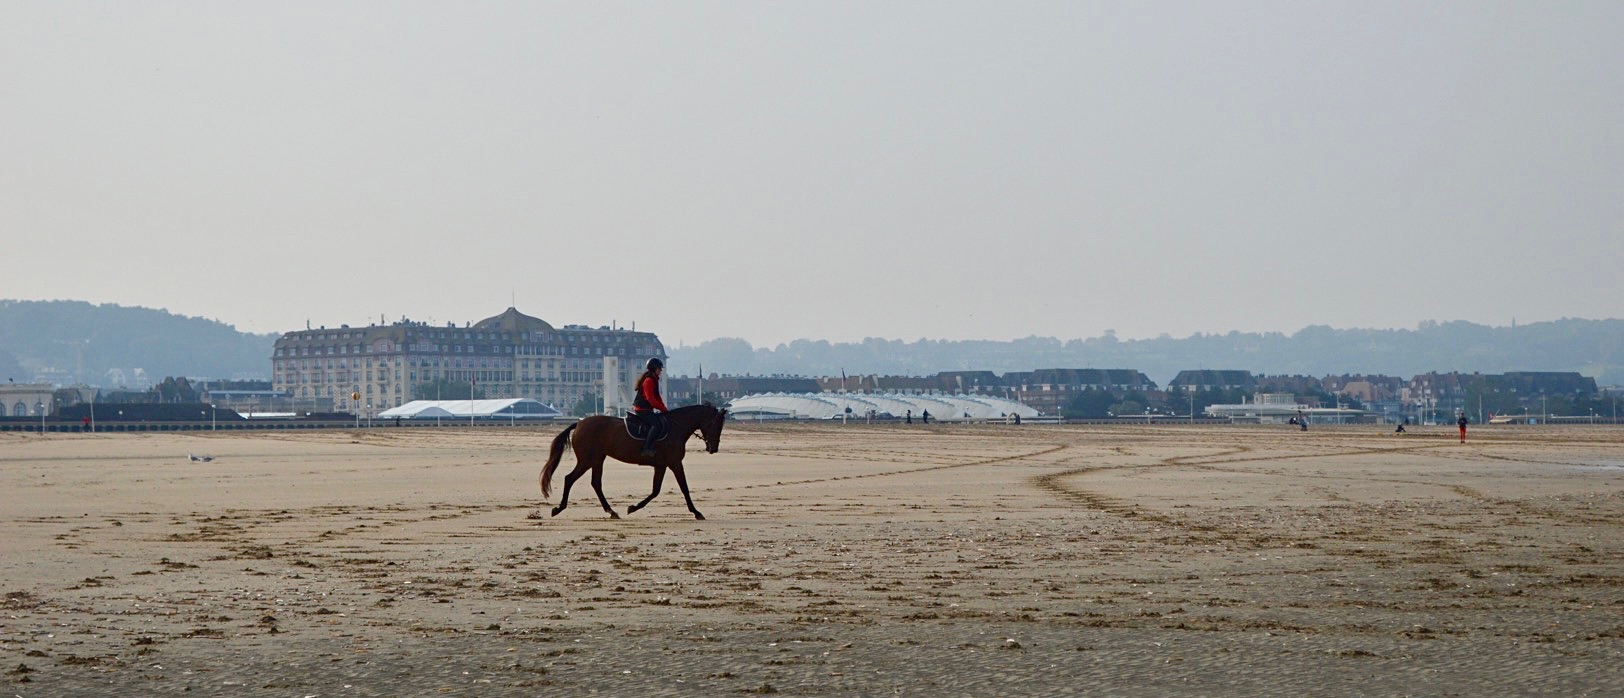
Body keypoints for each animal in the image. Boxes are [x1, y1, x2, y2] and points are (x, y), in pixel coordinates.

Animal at [540, 403, 728, 520]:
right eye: (717, 425)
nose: (713, 448)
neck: (676, 426)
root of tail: (579, 424)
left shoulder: (661, 466)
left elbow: (655, 491)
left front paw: (633, 507)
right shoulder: (675, 463)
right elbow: (684, 488)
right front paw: (696, 512)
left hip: (597, 459)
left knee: (596, 483)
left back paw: (611, 511)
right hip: (587, 460)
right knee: (570, 478)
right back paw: (559, 508)